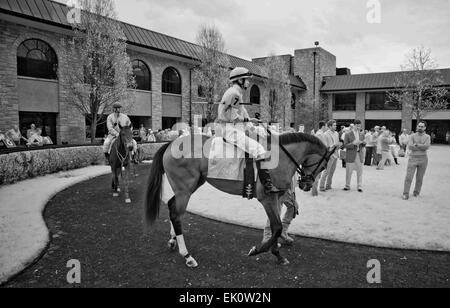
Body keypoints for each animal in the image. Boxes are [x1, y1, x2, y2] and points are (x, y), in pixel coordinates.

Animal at [144, 132, 334, 268]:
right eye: (324, 165)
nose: (306, 185)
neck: (280, 158)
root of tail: (171, 143)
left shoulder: (276, 198)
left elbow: (275, 226)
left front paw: (278, 255)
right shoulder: (267, 199)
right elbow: (277, 226)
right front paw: (257, 250)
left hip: (190, 186)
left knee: (172, 208)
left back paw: (172, 240)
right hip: (184, 190)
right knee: (176, 214)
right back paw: (187, 256)